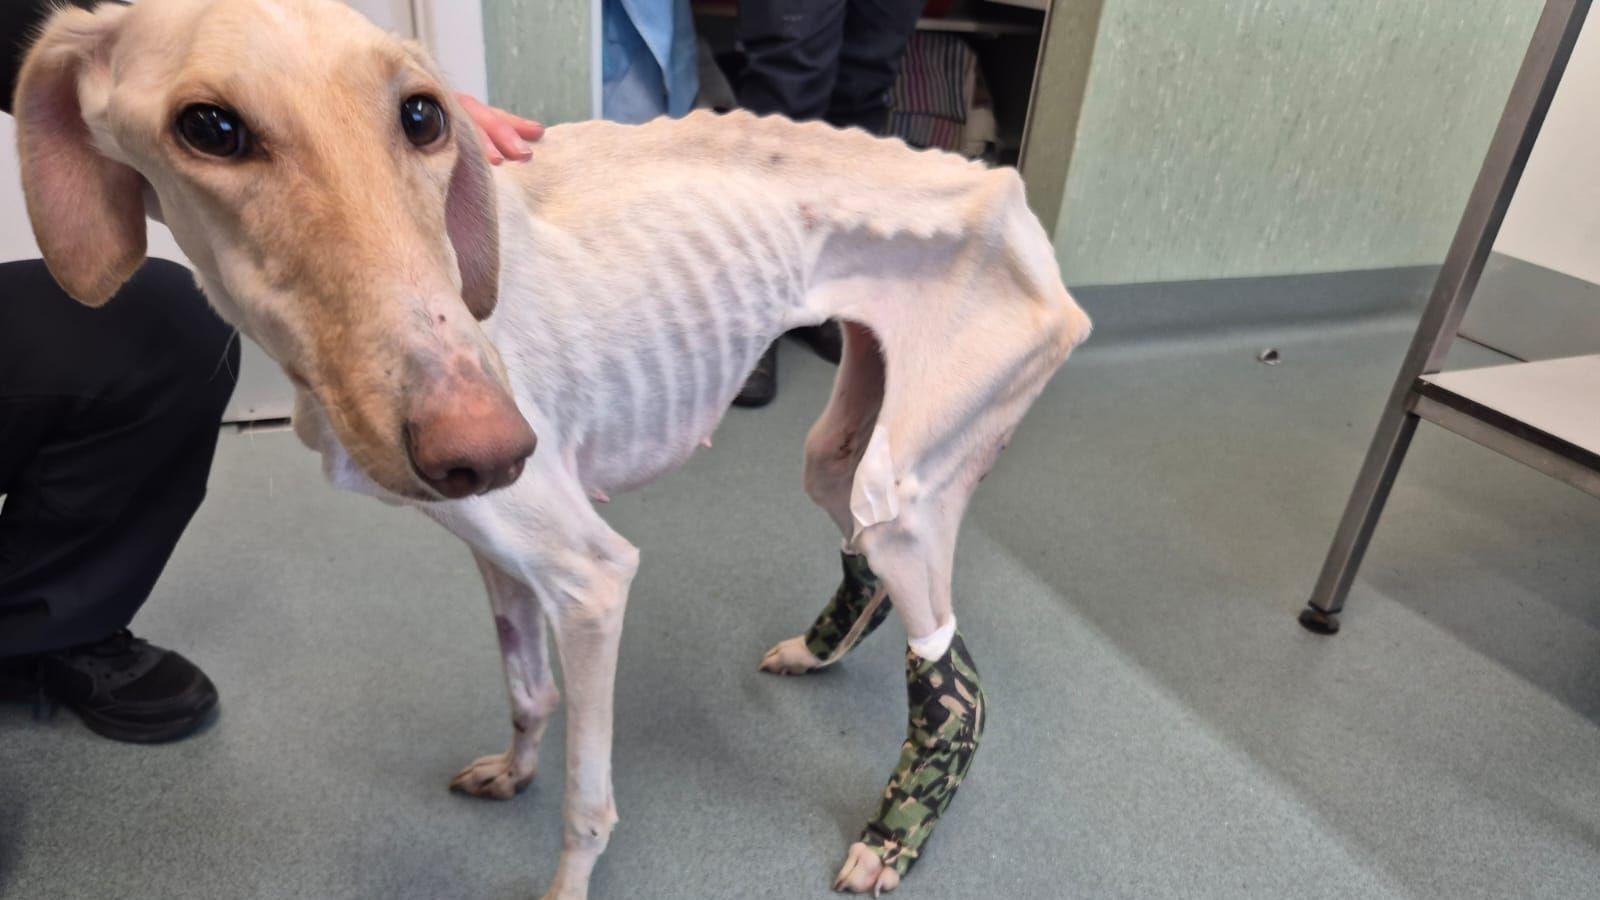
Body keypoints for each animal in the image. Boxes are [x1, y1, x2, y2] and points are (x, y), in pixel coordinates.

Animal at [15, 1, 1088, 890]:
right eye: (211, 128)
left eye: (422, 115)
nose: (490, 448)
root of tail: (1001, 181)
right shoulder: (498, 557)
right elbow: (528, 693)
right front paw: (511, 771)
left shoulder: (590, 577)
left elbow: (587, 801)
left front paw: (565, 873)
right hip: (844, 450)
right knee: (867, 567)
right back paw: (820, 650)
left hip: (911, 488)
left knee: (954, 687)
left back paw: (893, 836)